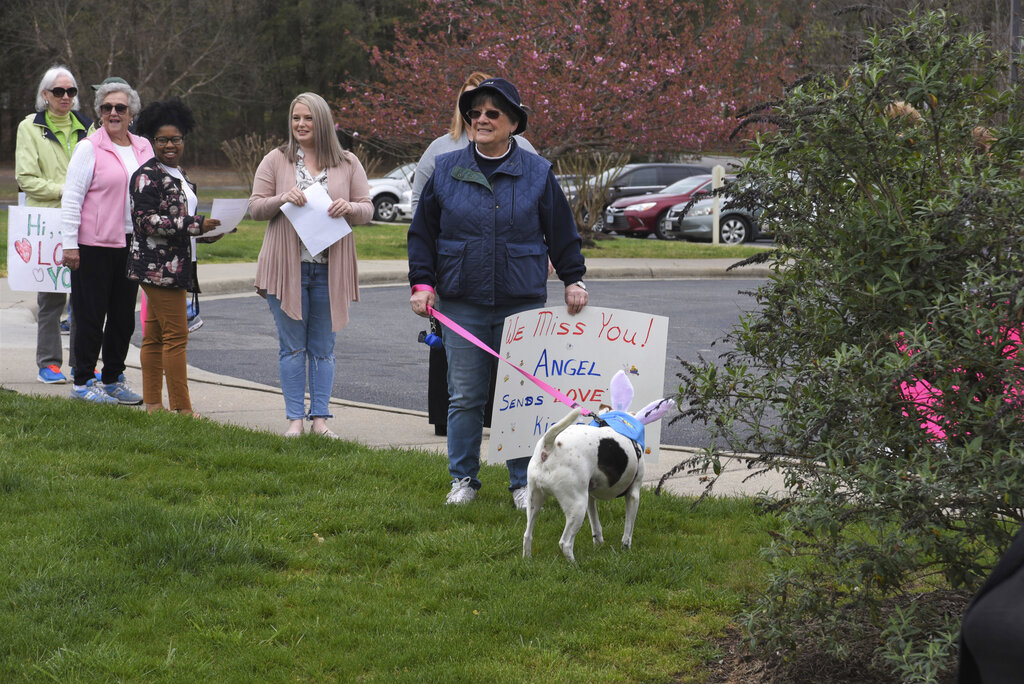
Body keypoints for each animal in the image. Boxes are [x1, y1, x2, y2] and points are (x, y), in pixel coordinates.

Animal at [520, 370, 671, 565]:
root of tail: (549, 446)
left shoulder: (590, 496)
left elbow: (596, 525)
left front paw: (598, 544)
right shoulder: (633, 494)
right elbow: (628, 529)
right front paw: (626, 548)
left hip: (535, 500)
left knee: (527, 535)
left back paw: (528, 560)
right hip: (577, 505)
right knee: (565, 542)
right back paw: (575, 566)